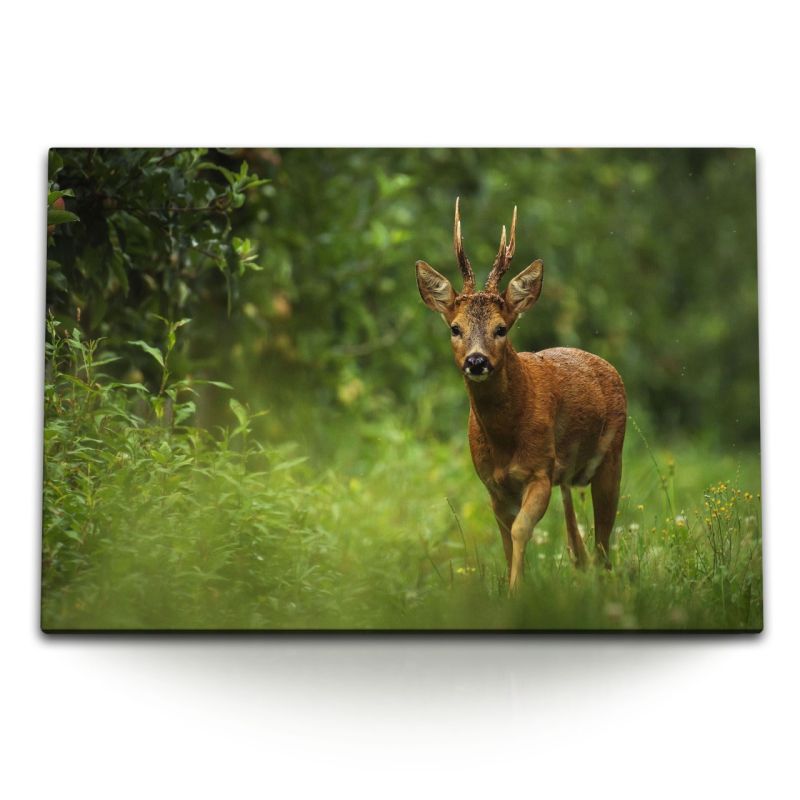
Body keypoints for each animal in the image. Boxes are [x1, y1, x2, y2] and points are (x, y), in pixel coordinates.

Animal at [416, 198, 628, 592]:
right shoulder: (493, 485)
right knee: (579, 540)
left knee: (604, 541)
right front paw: (518, 587)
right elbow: (505, 540)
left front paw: (516, 592)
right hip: (567, 473)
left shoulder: (539, 470)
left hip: (612, 457)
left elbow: (520, 531)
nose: (477, 361)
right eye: (455, 328)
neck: (505, 439)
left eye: (501, 328)